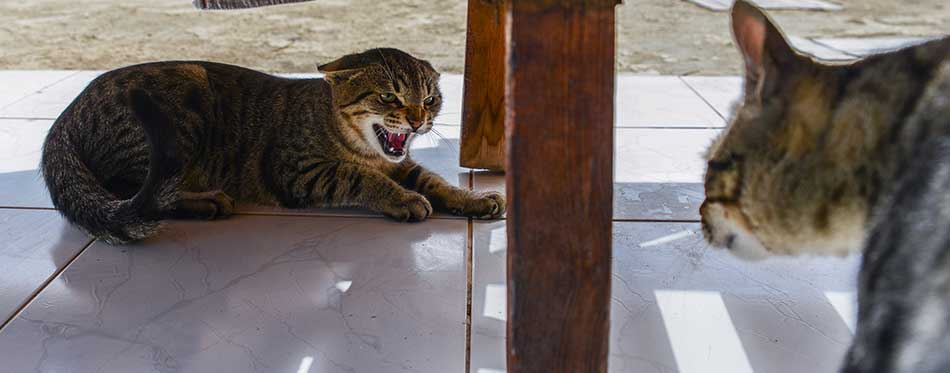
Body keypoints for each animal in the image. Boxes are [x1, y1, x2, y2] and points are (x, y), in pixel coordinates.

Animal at [42, 47, 506, 244]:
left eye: (429, 99)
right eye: (389, 96)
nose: (417, 119)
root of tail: (65, 116)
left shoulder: (402, 163)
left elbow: (433, 179)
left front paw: (473, 198)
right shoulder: (300, 171)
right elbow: (360, 177)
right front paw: (403, 199)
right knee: (139, 193)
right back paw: (205, 200)